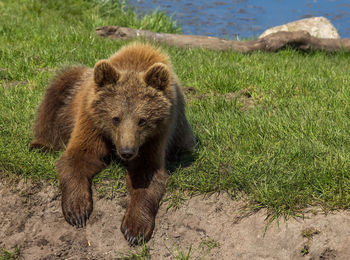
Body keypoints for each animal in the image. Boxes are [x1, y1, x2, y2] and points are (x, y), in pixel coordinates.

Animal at [30, 42, 194, 244]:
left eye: (142, 120)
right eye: (116, 118)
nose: (127, 151)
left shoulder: (157, 135)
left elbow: (147, 173)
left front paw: (135, 228)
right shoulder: (92, 120)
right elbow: (80, 155)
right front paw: (77, 210)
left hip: (181, 129)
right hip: (70, 92)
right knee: (54, 95)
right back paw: (41, 145)